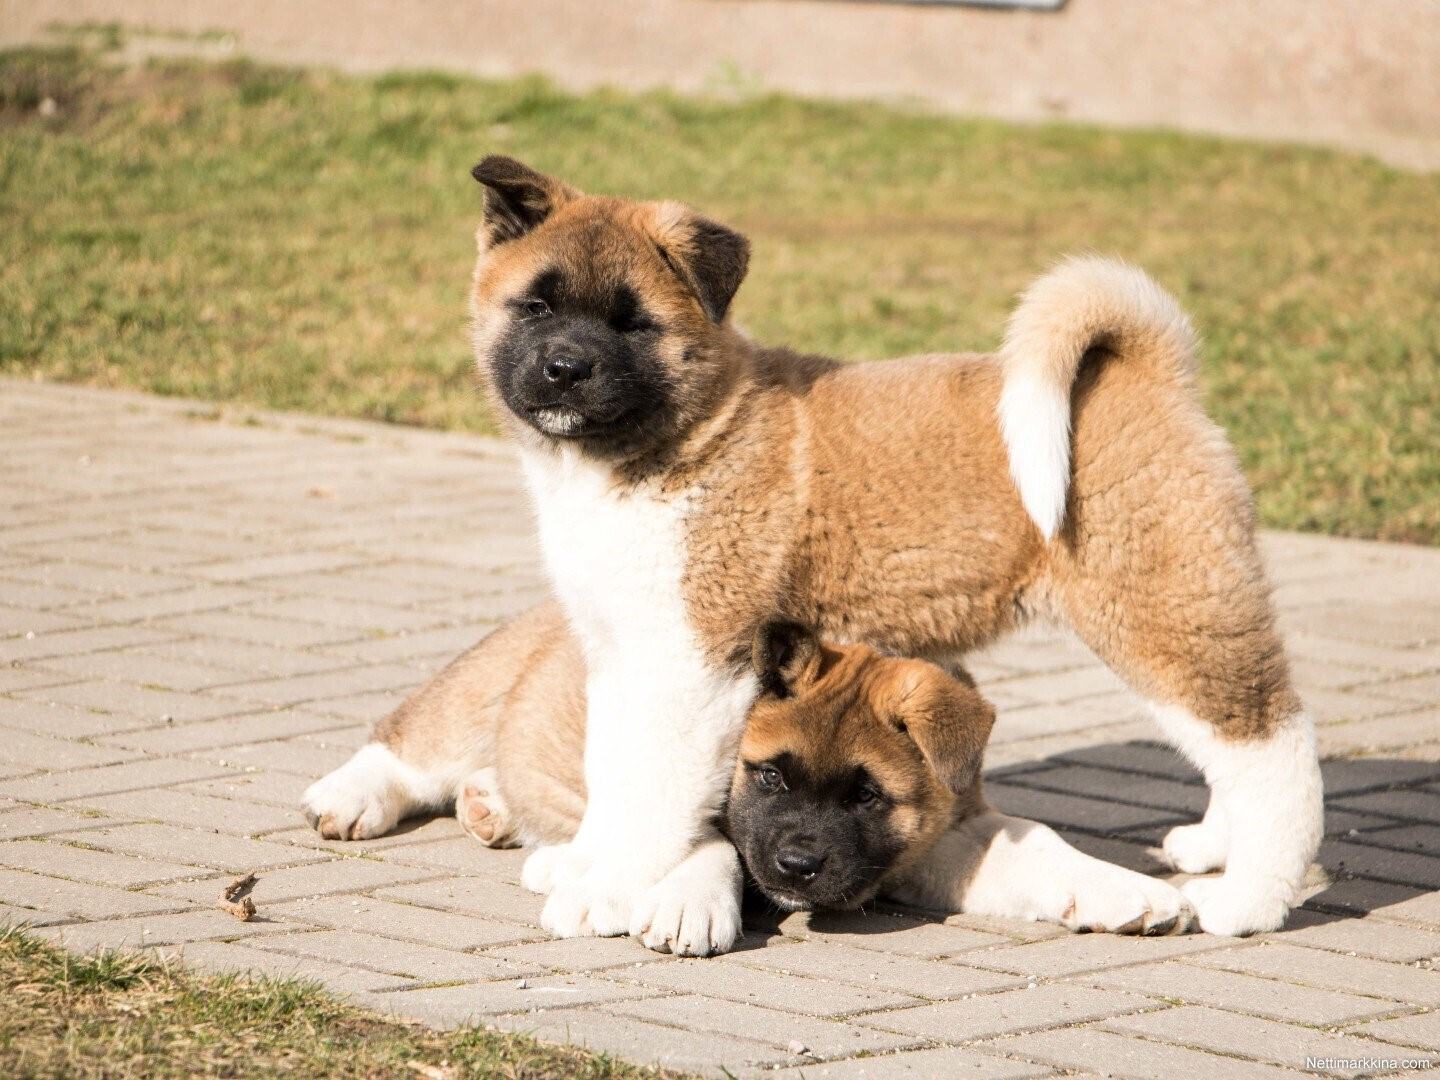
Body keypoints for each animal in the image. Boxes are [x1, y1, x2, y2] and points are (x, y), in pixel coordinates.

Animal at [306, 604, 1192, 961]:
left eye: (867, 797)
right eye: (766, 776)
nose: (799, 865)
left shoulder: (939, 837)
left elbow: (1033, 843)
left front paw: (1124, 890)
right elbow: (714, 844)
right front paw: (688, 908)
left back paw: (501, 816)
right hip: (476, 693)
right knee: (406, 742)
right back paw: (349, 799)